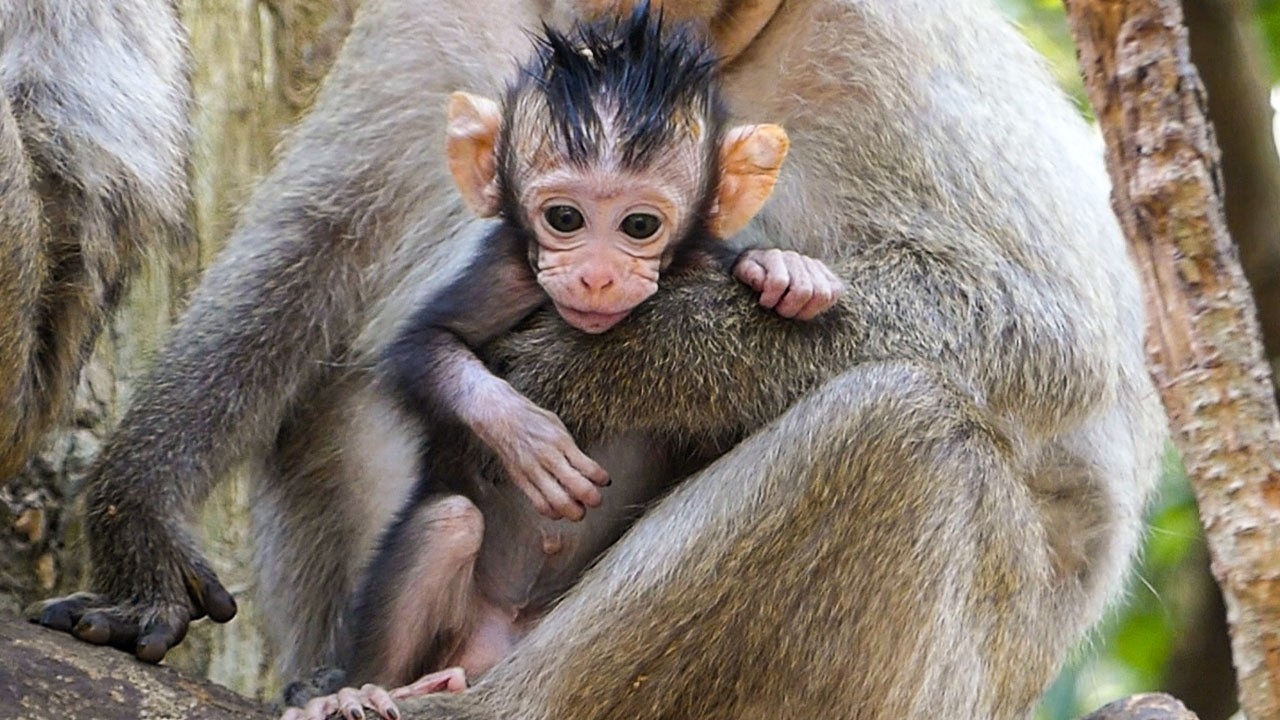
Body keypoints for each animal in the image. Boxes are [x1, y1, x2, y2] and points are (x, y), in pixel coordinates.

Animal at [34, 1, 1166, 719]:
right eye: (566, 214)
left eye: (640, 223)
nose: (595, 280)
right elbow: (315, 250)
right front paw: (138, 522)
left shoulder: (888, 38)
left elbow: (1035, 328)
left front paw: (588, 368)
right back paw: (340, 684)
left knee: (908, 433)